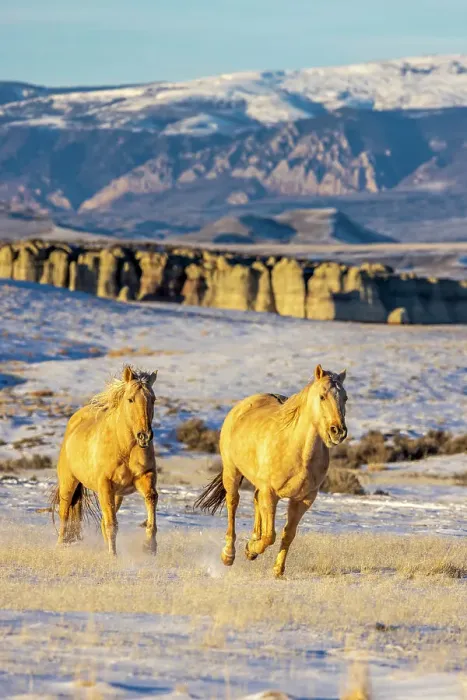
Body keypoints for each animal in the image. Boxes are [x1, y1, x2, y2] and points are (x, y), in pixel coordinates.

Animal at [51, 365, 159, 556]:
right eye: (130, 399)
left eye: (153, 399)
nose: (144, 436)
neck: (124, 448)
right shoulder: (105, 486)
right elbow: (111, 525)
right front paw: (113, 556)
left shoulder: (145, 478)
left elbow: (151, 501)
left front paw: (150, 548)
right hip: (68, 483)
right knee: (64, 515)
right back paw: (60, 546)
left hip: (117, 495)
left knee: (101, 521)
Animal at [194, 364, 348, 577]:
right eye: (322, 396)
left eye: (345, 398)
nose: (338, 431)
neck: (298, 451)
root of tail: (241, 407)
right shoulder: (271, 493)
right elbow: (270, 536)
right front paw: (251, 550)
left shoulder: (304, 499)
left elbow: (288, 534)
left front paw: (276, 569)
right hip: (232, 472)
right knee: (233, 503)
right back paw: (228, 555)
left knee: (255, 500)